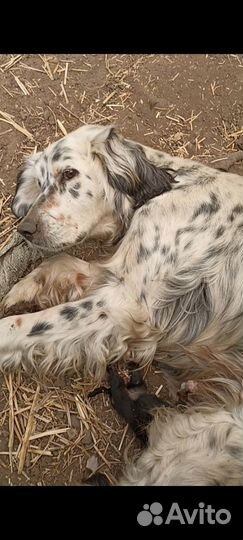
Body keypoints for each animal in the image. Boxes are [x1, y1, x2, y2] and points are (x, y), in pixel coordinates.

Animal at [0, 123, 243, 410]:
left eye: (69, 174)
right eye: (40, 184)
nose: (25, 229)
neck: (168, 187)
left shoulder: (124, 304)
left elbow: (23, 325)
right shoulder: (118, 275)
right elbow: (60, 261)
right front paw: (23, 289)